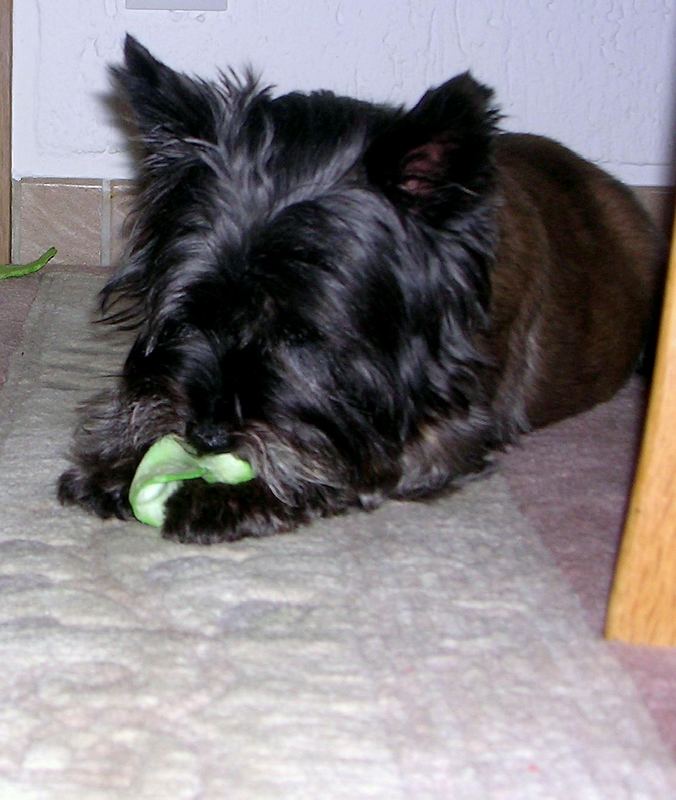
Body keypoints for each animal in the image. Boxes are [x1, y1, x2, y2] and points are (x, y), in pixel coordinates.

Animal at [58, 32, 660, 544]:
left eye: (302, 335)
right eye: (190, 318)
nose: (206, 437)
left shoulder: (446, 431)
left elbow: (352, 458)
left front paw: (227, 495)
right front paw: (121, 459)